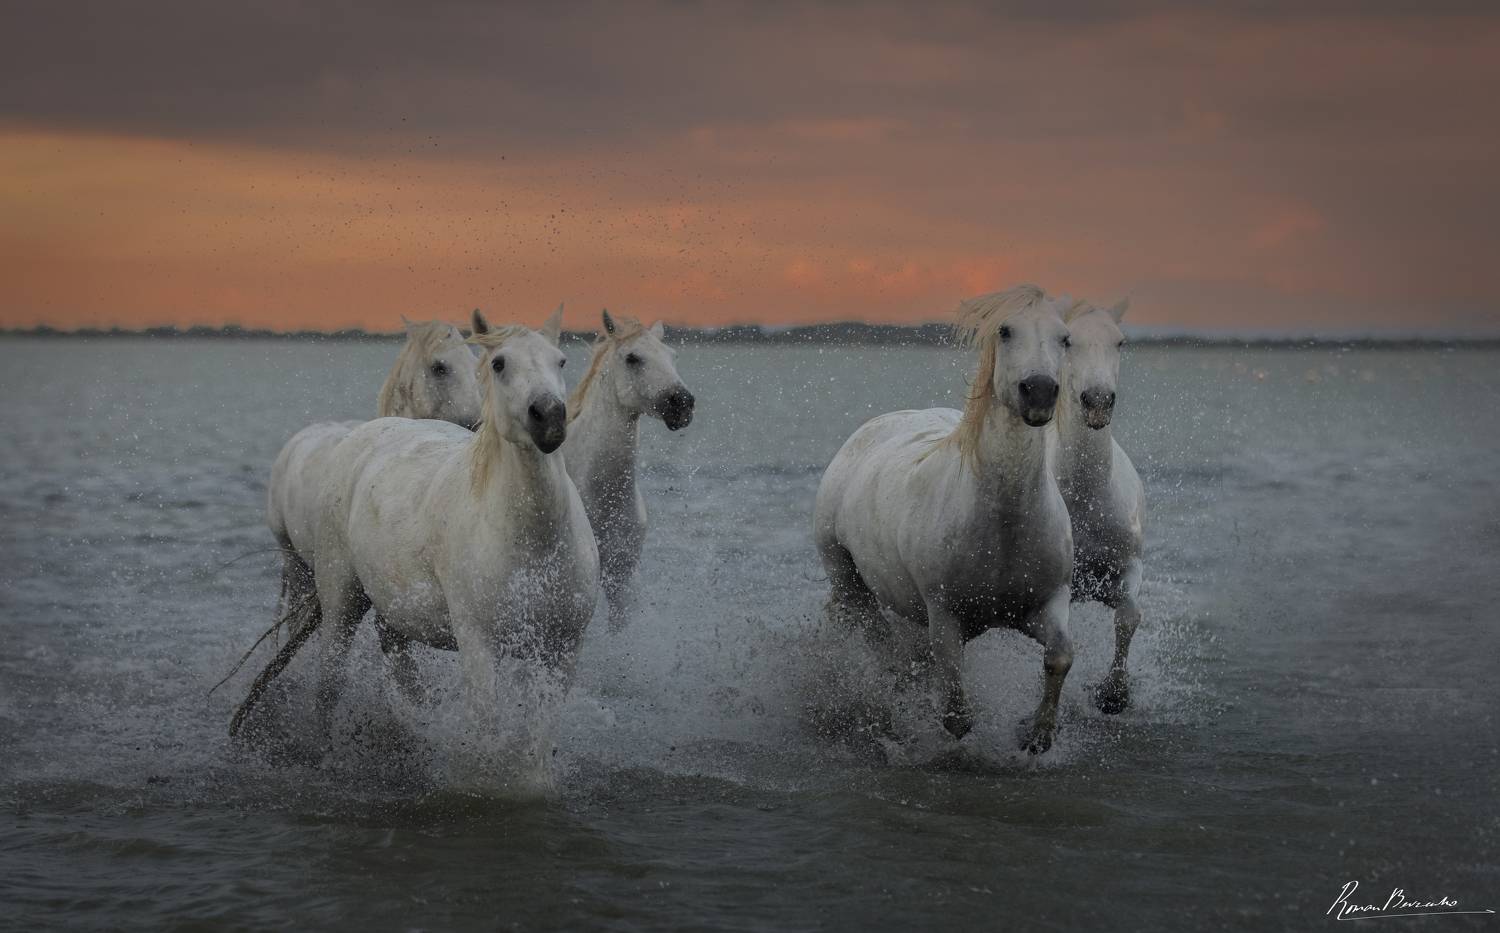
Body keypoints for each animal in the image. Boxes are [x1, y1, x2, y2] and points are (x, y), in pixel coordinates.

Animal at [289, 309, 596, 786]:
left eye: (560, 360)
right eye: (499, 364)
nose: (548, 417)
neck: (533, 544)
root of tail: (363, 435)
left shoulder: (562, 648)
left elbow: (536, 739)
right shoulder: (479, 646)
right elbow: (486, 728)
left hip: (394, 617)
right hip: (341, 600)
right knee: (330, 683)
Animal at [812, 284, 1076, 753]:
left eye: (1065, 338)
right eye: (1006, 331)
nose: (1040, 392)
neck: (1002, 523)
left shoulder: (1046, 602)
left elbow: (1060, 656)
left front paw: (1036, 734)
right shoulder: (945, 615)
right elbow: (955, 710)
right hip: (848, 581)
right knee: (882, 646)